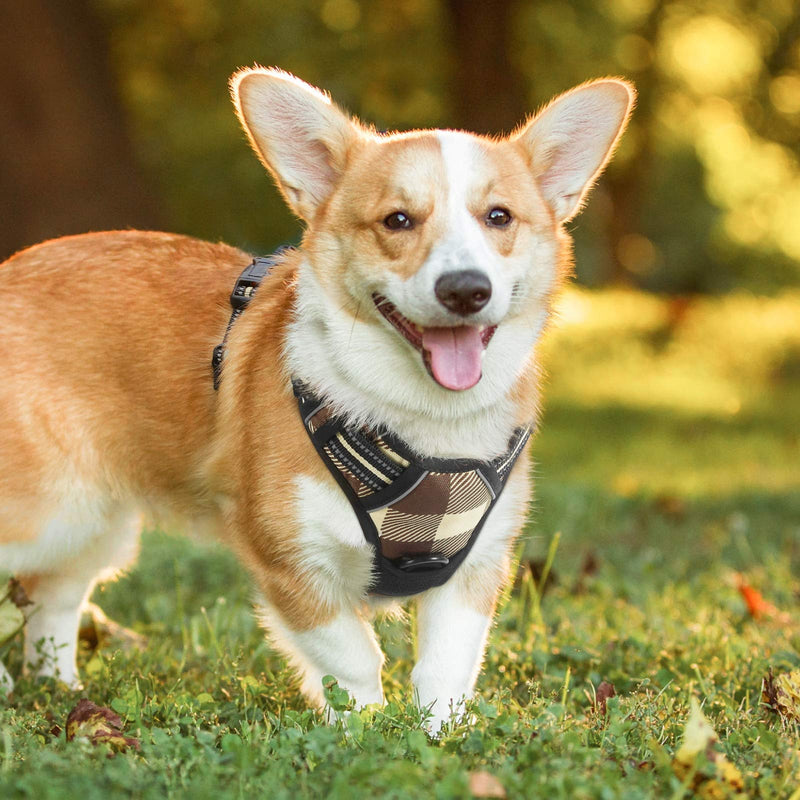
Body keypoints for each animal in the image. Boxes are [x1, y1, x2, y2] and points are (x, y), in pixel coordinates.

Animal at [1, 69, 632, 732]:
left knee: (53, 600)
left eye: (499, 216)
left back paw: (61, 687)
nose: (466, 290)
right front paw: (365, 731)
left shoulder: (474, 571)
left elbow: (445, 669)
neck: (423, 422)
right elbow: (354, 659)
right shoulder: (292, 565)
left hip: (96, 525)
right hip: (47, 509)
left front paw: (441, 737)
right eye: (397, 220)